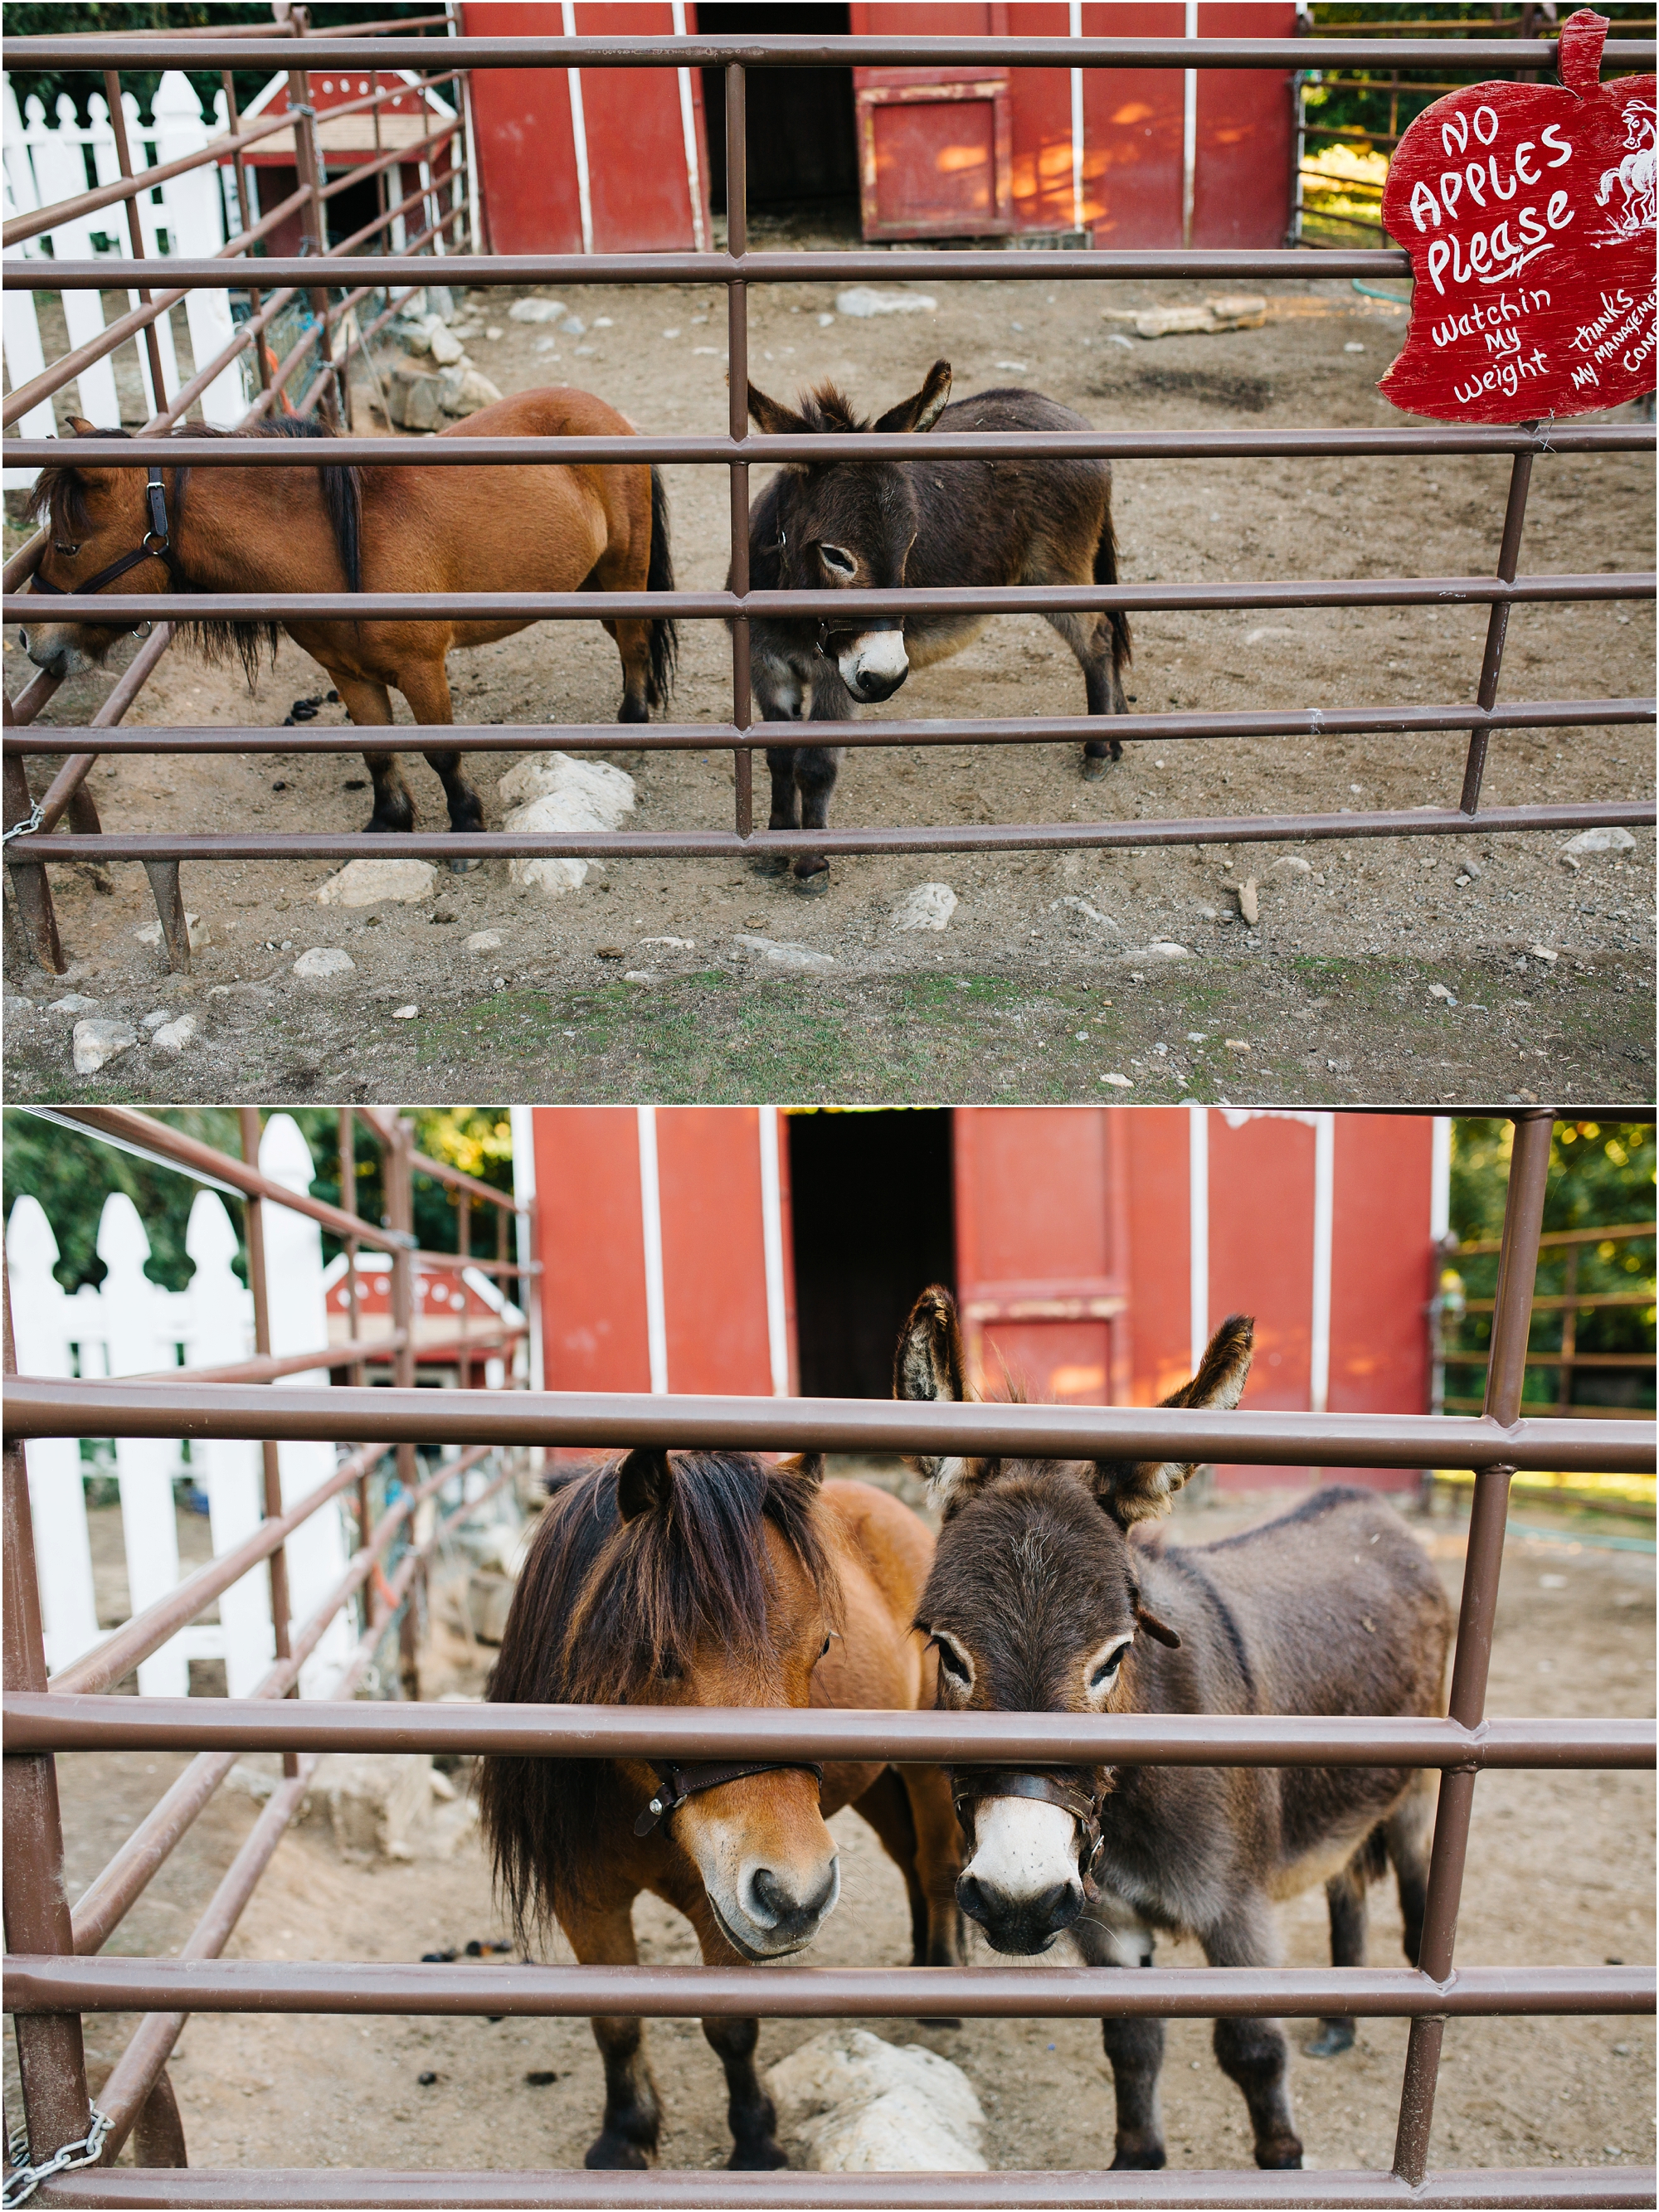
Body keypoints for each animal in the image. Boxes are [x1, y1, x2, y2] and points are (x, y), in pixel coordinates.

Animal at [16, 393, 677, 849]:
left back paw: (633, 727)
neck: (338, 548)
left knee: (634, 645)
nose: (29, 636)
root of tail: (604, 412)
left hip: (622, 576)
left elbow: (443, 753)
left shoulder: (422, 668)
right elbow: (377, 752)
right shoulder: (349, 673)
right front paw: (389, 823)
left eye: (69, 546)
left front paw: (466, 826)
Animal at [478, 1451, 960, 2176]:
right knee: (908, 1861)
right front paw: (625, 2136)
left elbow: (730, 2026)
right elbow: (614, 2023)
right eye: (657, 1654)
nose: (797, 1893)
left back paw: (942, 1984)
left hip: (927, 1771)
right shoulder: (583, 1898)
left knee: (935, 1867)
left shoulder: (721, 1905)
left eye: (822, 1646)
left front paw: (756, 2141)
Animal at [898, 1291, 1451, 2167]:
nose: (1018, 1900)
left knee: (1417, 1903)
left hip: (1416, 1797)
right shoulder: (1108, 1922)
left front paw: (1283, 2162)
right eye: (947, 1651)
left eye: (1115, 1656)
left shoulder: (1237, 1914)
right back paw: (1336, 2023)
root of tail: (1366, 1506)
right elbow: (1131, 2044)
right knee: (1346, 1885)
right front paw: (1136, 2161)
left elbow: (1253, 2052)